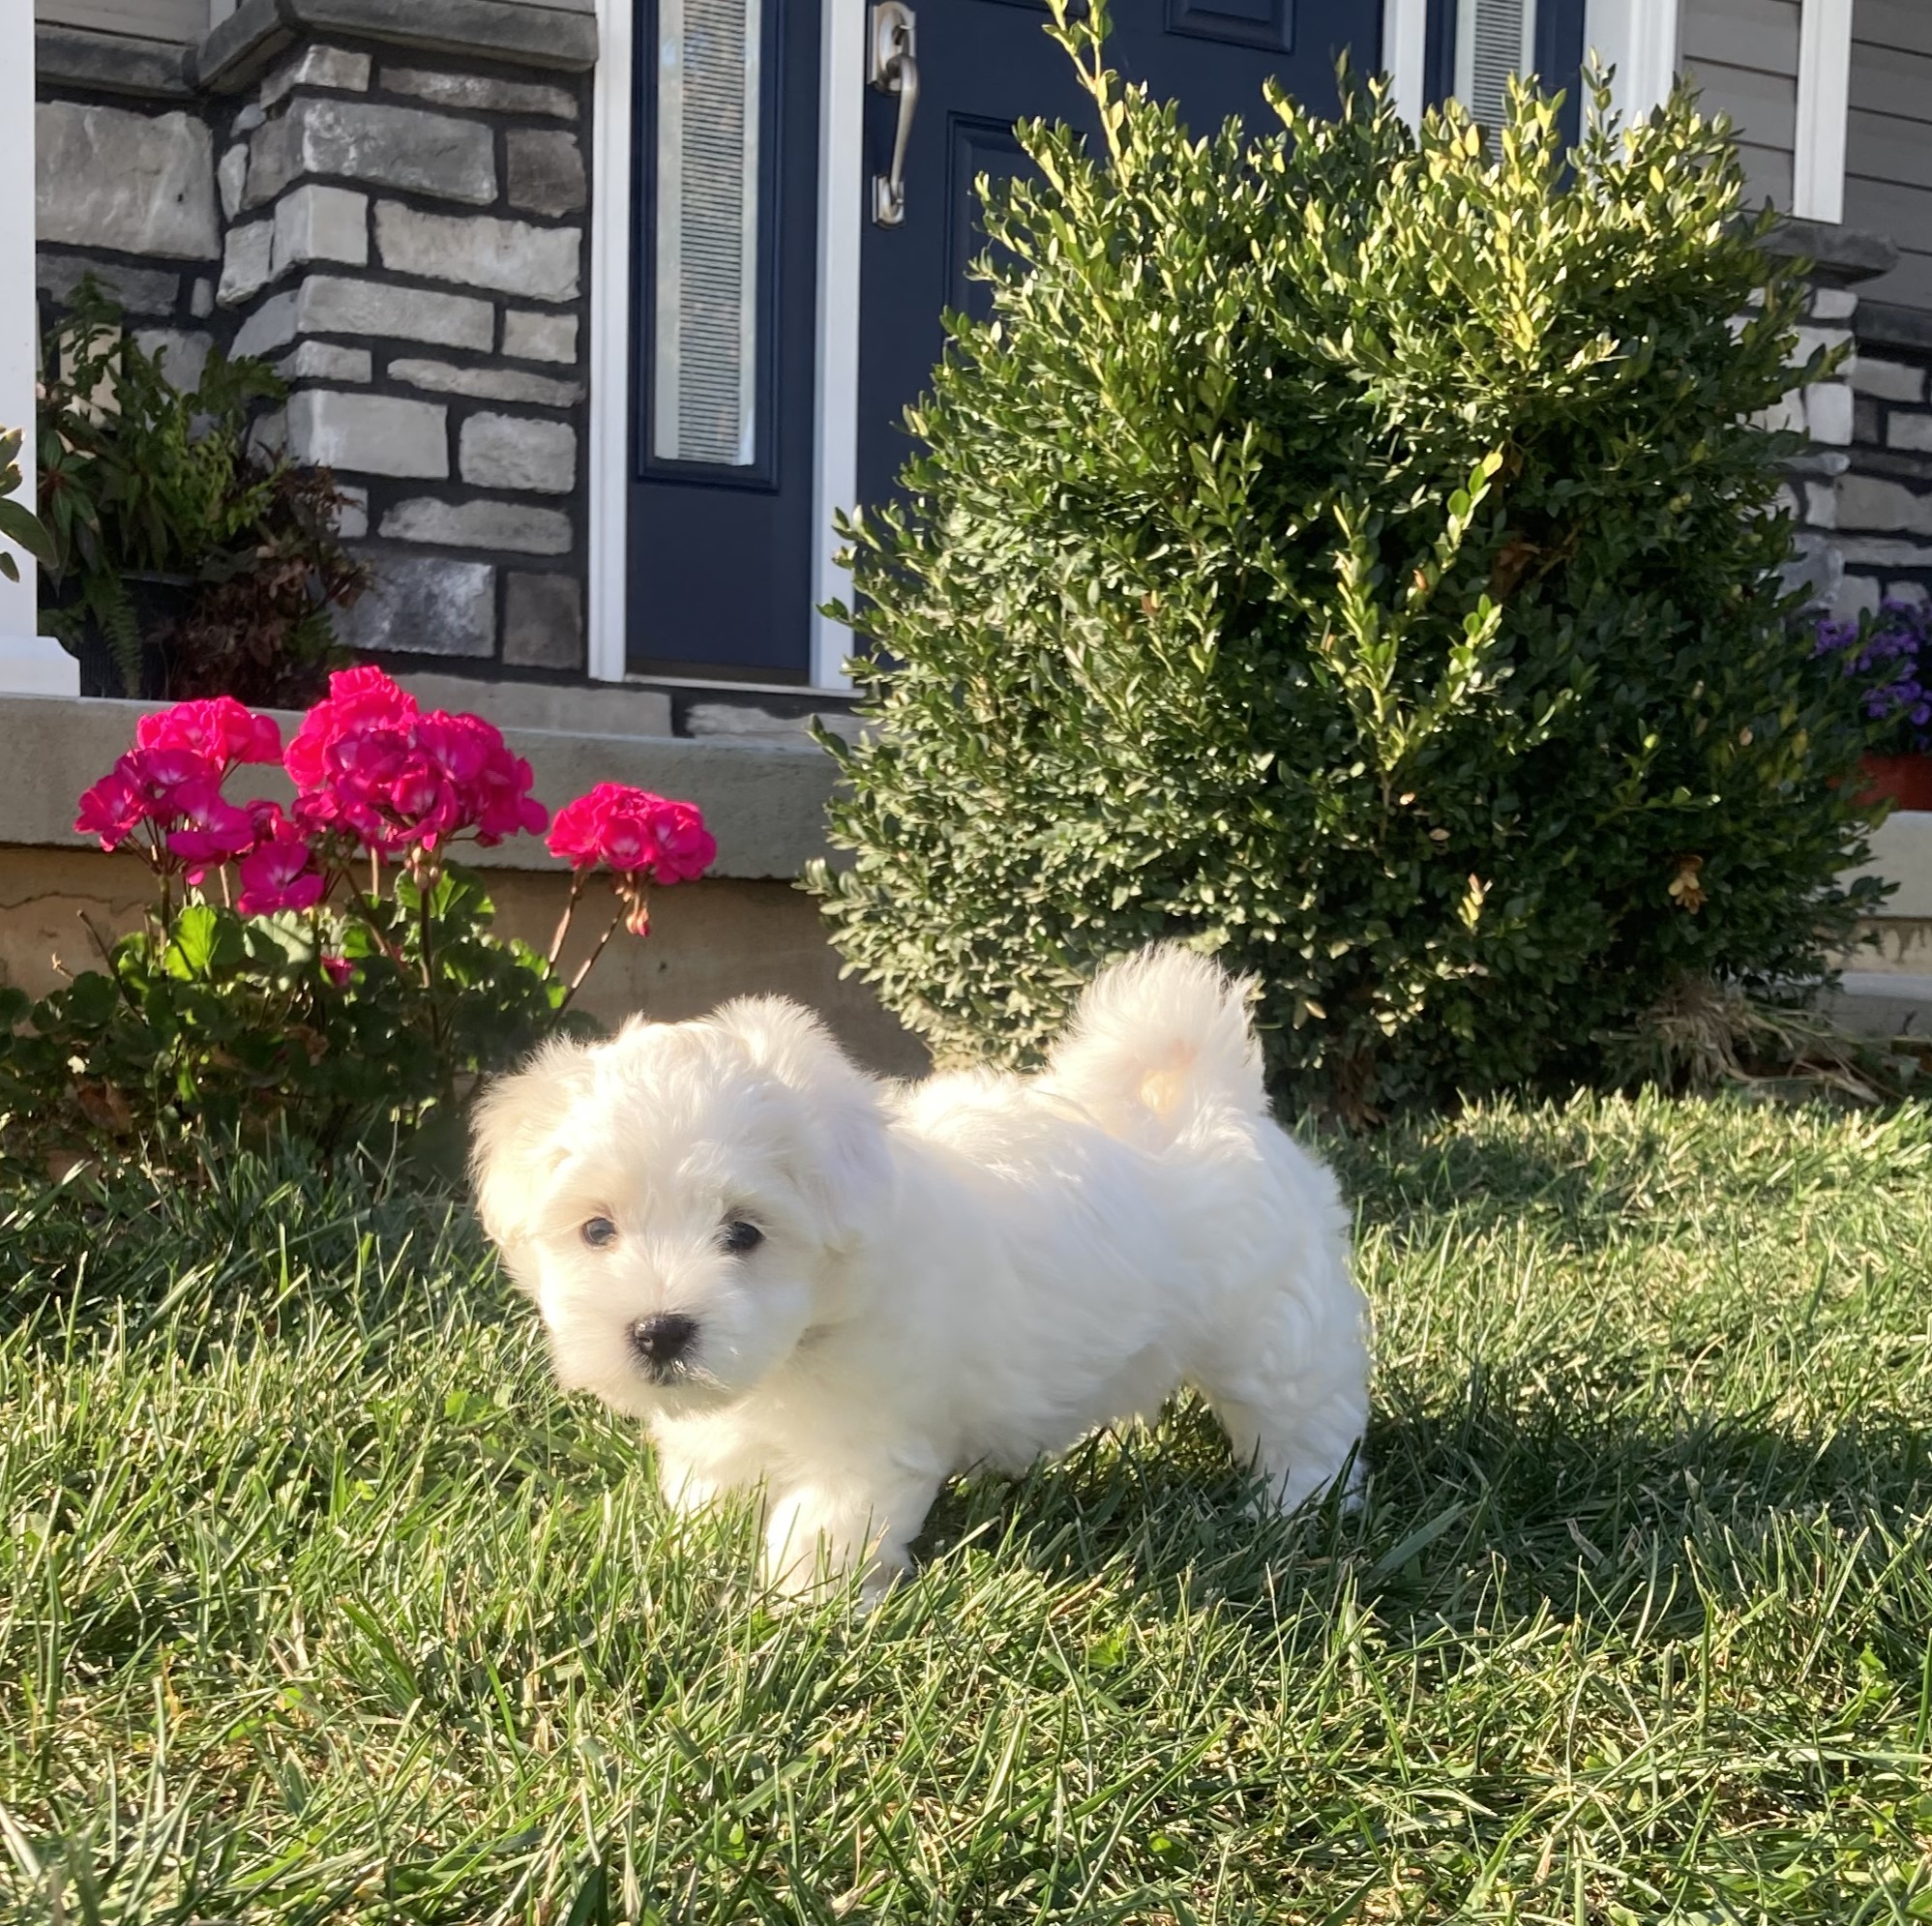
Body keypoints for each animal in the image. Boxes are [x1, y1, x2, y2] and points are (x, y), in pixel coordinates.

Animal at [469, 942, 1375, 1591]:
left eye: (744, 1233)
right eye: (596, 1228)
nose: (658, 1330)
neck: (813, 1325)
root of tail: (1218, 1101)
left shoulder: (864, 1444)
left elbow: (820, 1526)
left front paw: (797, 1608)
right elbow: (707, 1476)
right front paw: (696, 1541)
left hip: (1273, 1333)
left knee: (1305, 1422)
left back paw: (1289, 1507)